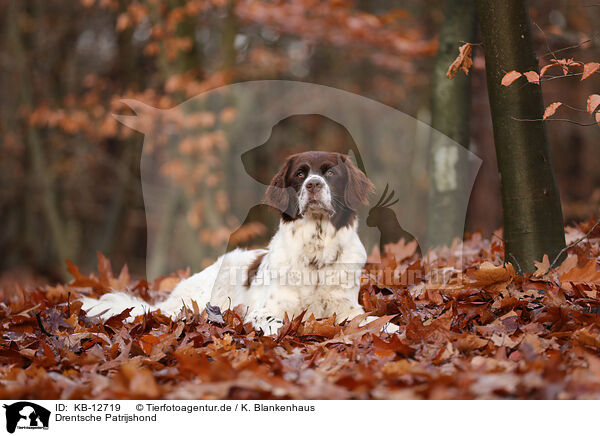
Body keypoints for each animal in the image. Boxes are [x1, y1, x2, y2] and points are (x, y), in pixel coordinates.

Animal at [81, 152, 398, 336]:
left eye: (331, 173)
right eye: (300, 174)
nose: (313, 185)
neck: (316, 251)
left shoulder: (346, 308)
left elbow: (373, 320)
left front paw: (392, 327)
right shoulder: (266, 308)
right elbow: (276, 322)